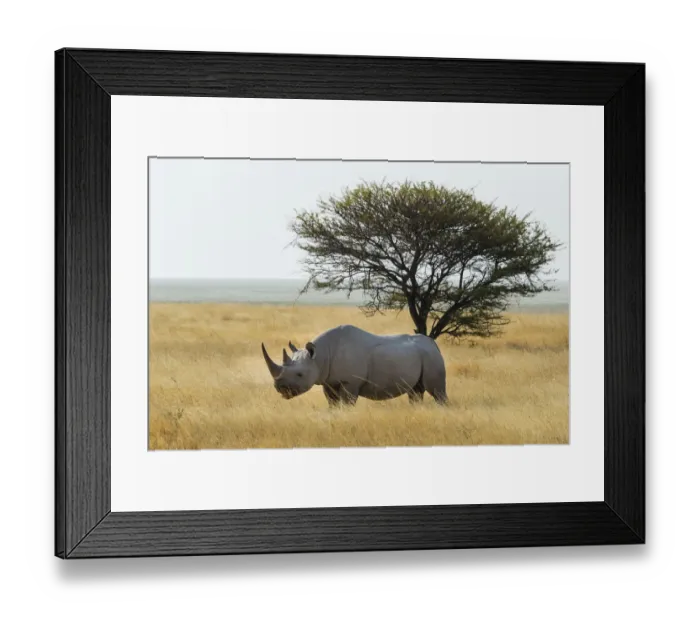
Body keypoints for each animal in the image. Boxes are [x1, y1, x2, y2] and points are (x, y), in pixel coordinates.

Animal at [261, 324, 448, 406]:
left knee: (436, 391)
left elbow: (347, 403)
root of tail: (434, 344)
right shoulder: (329, 381)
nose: (281, 389)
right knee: (415, 390)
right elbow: (332, 403)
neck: (320, 356)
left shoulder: (350, 382)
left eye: (299, 375)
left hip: (430, 357)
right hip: (420, 355)